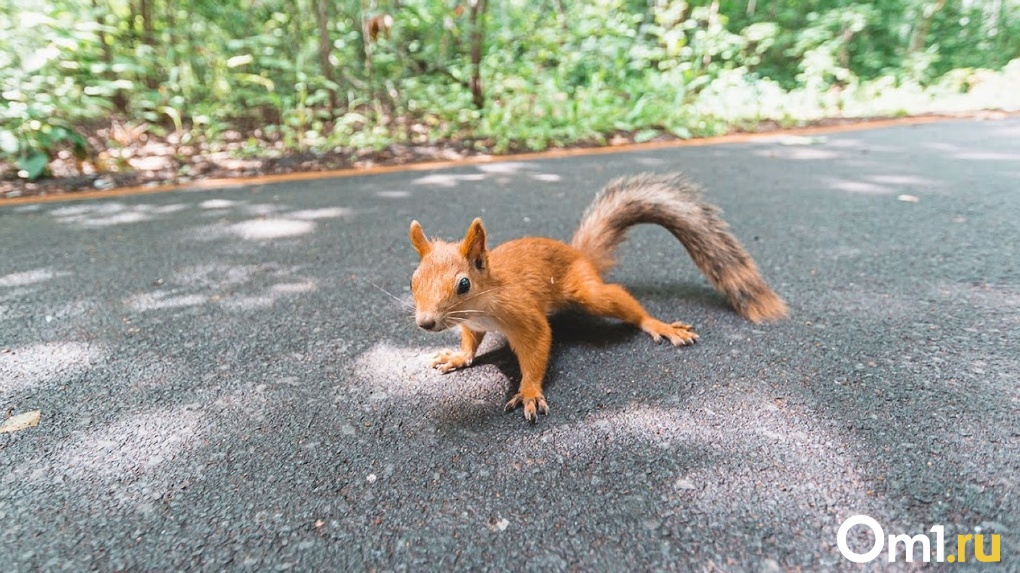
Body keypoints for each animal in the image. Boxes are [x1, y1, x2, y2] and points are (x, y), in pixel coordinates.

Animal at [408, 169, 787, 420]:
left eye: (463, 285)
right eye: (412, 280)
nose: (425, 322)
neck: (483, 302)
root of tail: (581, 255)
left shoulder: (522, 313)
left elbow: (537, 345)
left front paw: (529, 391)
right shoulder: (472, 323)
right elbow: (471, 343)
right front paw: (458, 357)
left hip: (586, 290)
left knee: (616, 300)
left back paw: (658, 324)